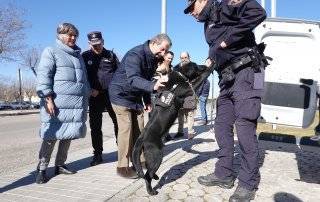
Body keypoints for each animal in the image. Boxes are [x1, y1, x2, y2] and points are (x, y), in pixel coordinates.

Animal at [131, 62, 216, 196]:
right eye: (196, 66)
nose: (204, 64)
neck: (178, 76)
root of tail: (141, 139)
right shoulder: (189, 88)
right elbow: (202, 77)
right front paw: (212, 65)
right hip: (156, 155)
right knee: (147, 175)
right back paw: (151, 190)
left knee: (149, 172)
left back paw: (155, 177)